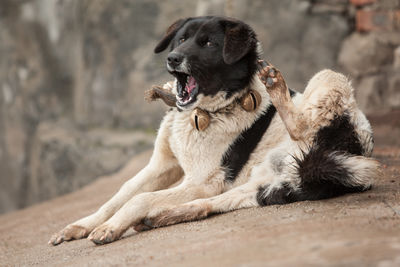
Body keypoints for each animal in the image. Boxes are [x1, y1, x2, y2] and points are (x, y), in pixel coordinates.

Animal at [49, 16, 378, 247]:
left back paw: (277, 85)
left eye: (208, 44)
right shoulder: (164, 166)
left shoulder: (200, 179)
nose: (172, 59)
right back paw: (159, 217)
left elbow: (139, 198)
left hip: (328, 78)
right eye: (181, 39)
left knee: (301, 123)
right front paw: (84, 224)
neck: (203, 112)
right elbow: (122, 192)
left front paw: (110, 227)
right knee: (205, 207)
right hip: (257, 185)